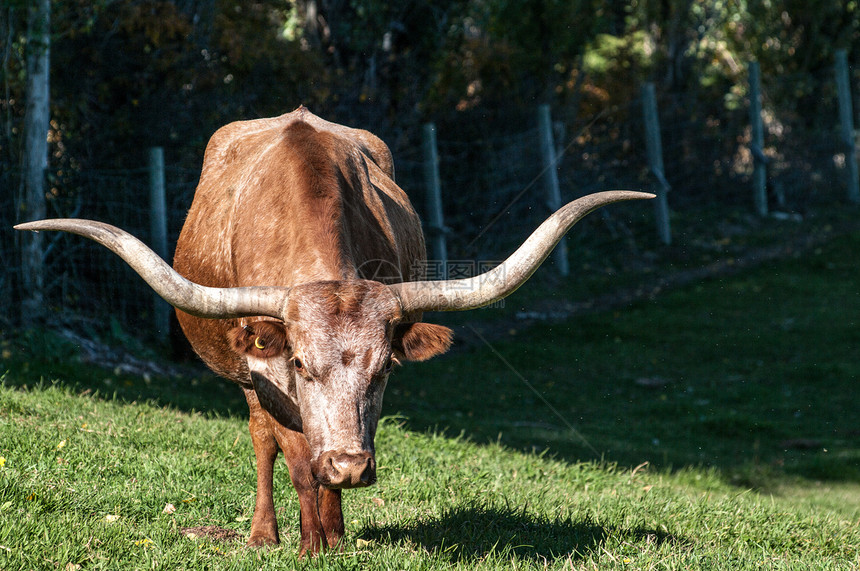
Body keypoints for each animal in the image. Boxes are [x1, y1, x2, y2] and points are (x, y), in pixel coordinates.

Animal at [16, 106, 652, 556]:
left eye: (386, 367)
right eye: (300, 363)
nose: (350, 464)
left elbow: (324, 470)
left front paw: (333, 534)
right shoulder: (269, 374)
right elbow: (296, 460)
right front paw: (307, 546)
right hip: (245, 379)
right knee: (264, 441)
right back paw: (266, 533)